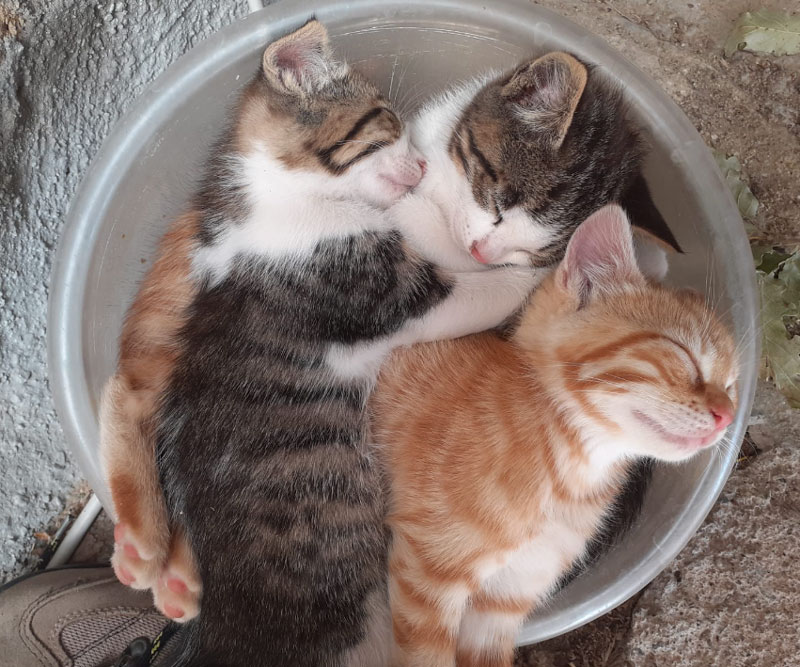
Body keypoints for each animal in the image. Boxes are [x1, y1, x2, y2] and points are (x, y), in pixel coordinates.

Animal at [374, 205, 736, 667]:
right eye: (683, 355)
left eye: (731, 384)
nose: (728, 417)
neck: (569, 472)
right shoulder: (428, 575)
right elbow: (427, 657)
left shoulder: (501, 607)